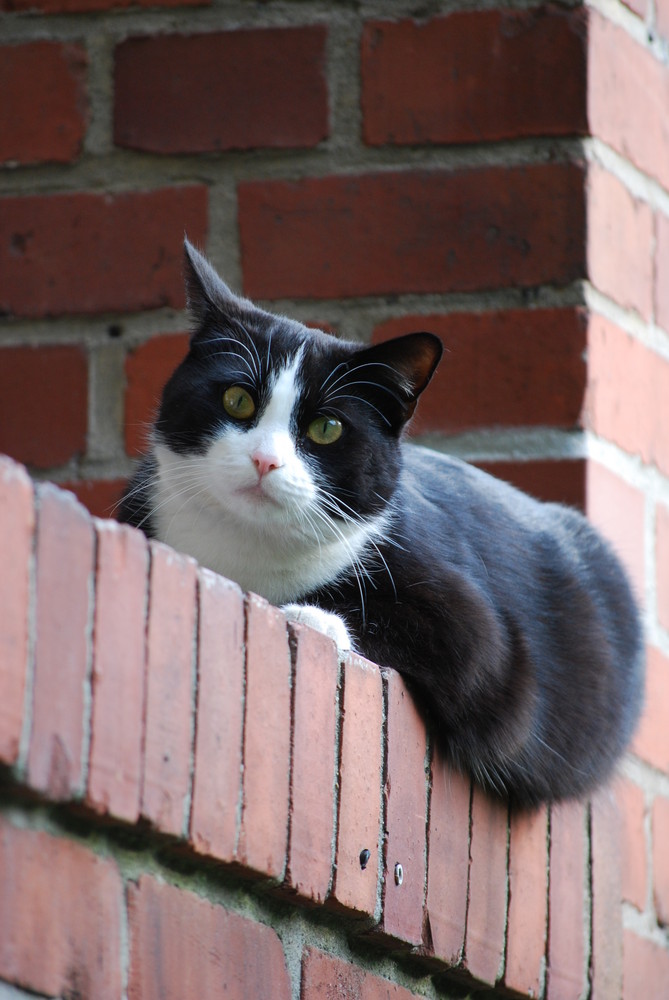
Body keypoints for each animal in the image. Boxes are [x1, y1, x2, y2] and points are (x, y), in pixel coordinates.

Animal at [117, 238, 644, 808]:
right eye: (237, 399)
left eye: (327, 428)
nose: (264, 460)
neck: (245, 549)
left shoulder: (483, 640)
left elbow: (411, 627)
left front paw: (313, 615)